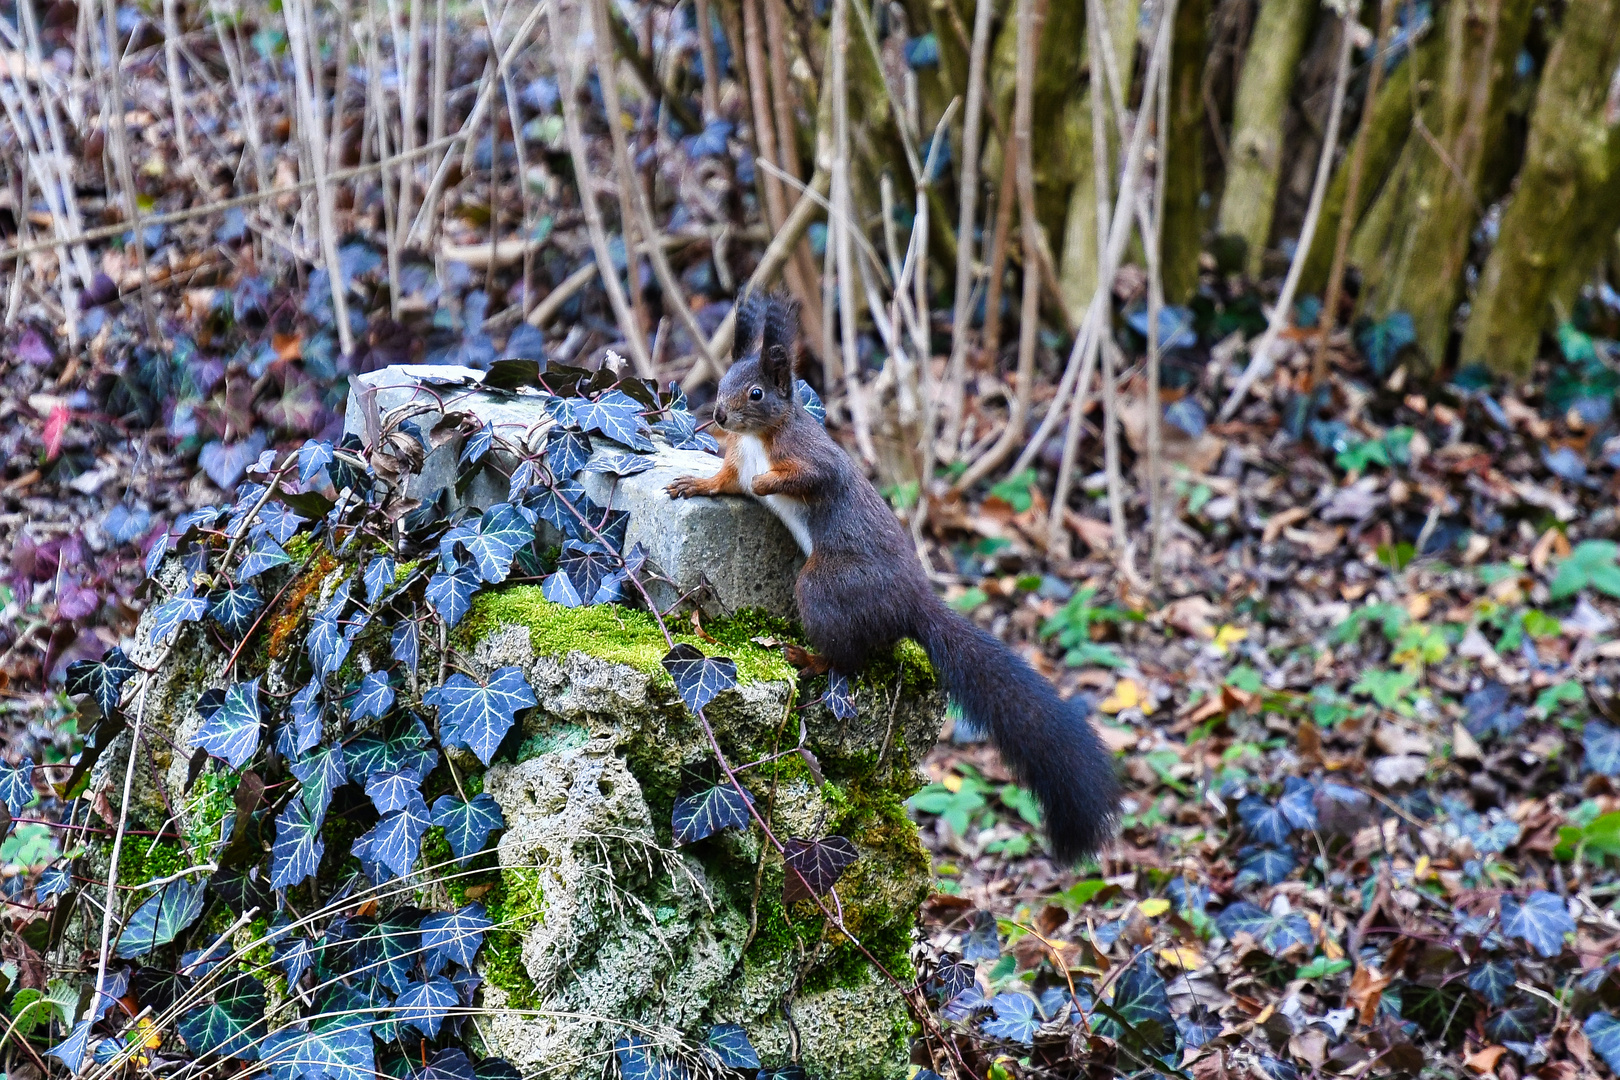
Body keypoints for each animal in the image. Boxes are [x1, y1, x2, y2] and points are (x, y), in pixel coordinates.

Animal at [664, 293, 1121, 861]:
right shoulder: (736, 466)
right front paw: (692, 483)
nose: (719, 415)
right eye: (724, 379)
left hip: (827, 586)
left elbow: (812, 476)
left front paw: (770, 482)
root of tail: (912, 602)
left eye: (756, 392)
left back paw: (808, 658)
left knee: (849, 657)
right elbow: (725, 482)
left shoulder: (811, 458)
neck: (754, 441)